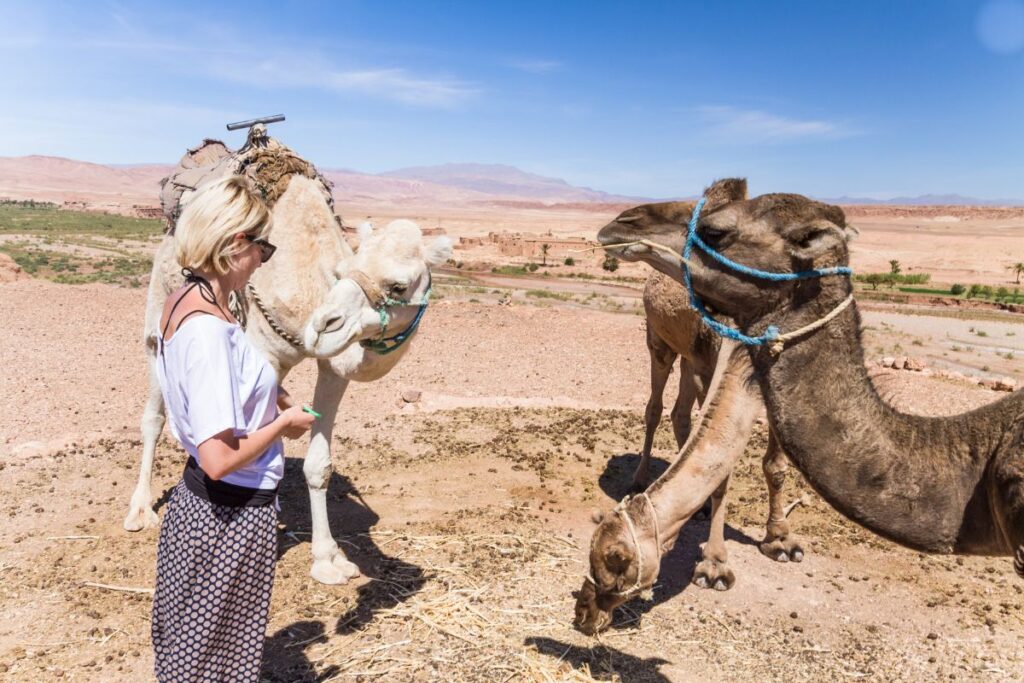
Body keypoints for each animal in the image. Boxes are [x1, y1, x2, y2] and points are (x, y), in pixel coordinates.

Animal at [123, 133, 452, 589]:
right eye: (344, 271)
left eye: (398, 285)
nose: (326, 325)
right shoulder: (263, 355)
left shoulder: (333, 368)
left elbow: (318, 464)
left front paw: (329, 560)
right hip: (159, 314)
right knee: (153, 415)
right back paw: (139, 510)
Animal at [577, 178, 1024, 634]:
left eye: (715, 230)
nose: (623, 221)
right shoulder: (725, 359)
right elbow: (724, 471)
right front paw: (714, 565)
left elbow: (775, 465)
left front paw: (780, 540)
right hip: (660, 341)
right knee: (656, 405)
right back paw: (640, 478)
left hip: (690, 356)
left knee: (681, 413)